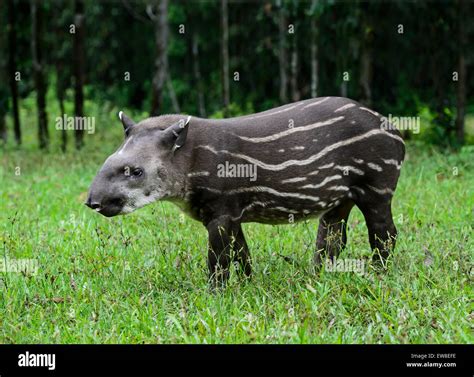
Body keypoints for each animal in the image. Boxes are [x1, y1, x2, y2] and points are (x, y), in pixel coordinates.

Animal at [85, 96, 404, 284]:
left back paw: (379, 274)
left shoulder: (221, 210)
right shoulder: (231, 212)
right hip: (340, 196)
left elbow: (218, 259)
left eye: (136, 171)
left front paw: (216, 292)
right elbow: (242, 253)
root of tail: (394, 129)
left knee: (384, 233)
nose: (93, 202)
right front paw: (249, 282)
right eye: (108, 160)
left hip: (376, 184)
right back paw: (318, 275)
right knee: (332, 237)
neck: (190, 159)